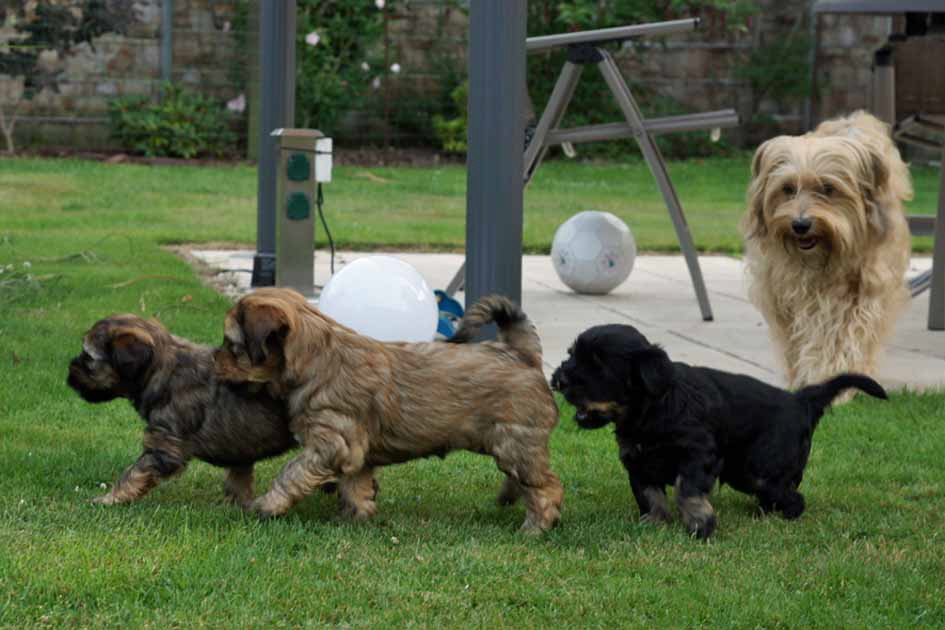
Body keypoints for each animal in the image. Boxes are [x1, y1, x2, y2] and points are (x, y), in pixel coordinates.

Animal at [68, 316, 296, 508]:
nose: (68, 374)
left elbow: (133, 472)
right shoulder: (240, 450)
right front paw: (238, 506)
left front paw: (108, 499)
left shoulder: (164, 445)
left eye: (87, 357)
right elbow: (239, 479)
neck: (162, 371)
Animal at [214, 290, 560, 532]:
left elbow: (292, 472)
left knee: (545, 485)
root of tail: (522, 354)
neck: (315, 357)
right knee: (525, 478)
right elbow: (355, 483)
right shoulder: (355, 451)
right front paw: (356, 516)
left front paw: (267, 506)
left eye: (232, 345)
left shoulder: (332, 441)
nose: (214, 360)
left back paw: (536, 526)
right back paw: (509, 499)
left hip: (515, 440)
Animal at [548, 326, 888, 540]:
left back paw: (781, 516)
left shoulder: (699, 453)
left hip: (761, 469)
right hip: (744, 473)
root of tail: (800, 400)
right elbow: (649, 493)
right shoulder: (638, 461)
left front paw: (701, 524)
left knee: (794, 496)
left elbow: (687, 489)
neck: (654, 408)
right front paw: (655, 522)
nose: (558, 379)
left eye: (598, 366)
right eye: (572, 354)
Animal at [740, 111, 912, 392]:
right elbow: (795, 340)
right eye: (787, 189)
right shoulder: (782, 296)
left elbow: (843, 336)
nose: (800, 225)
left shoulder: (860, 294)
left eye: (828, 189)